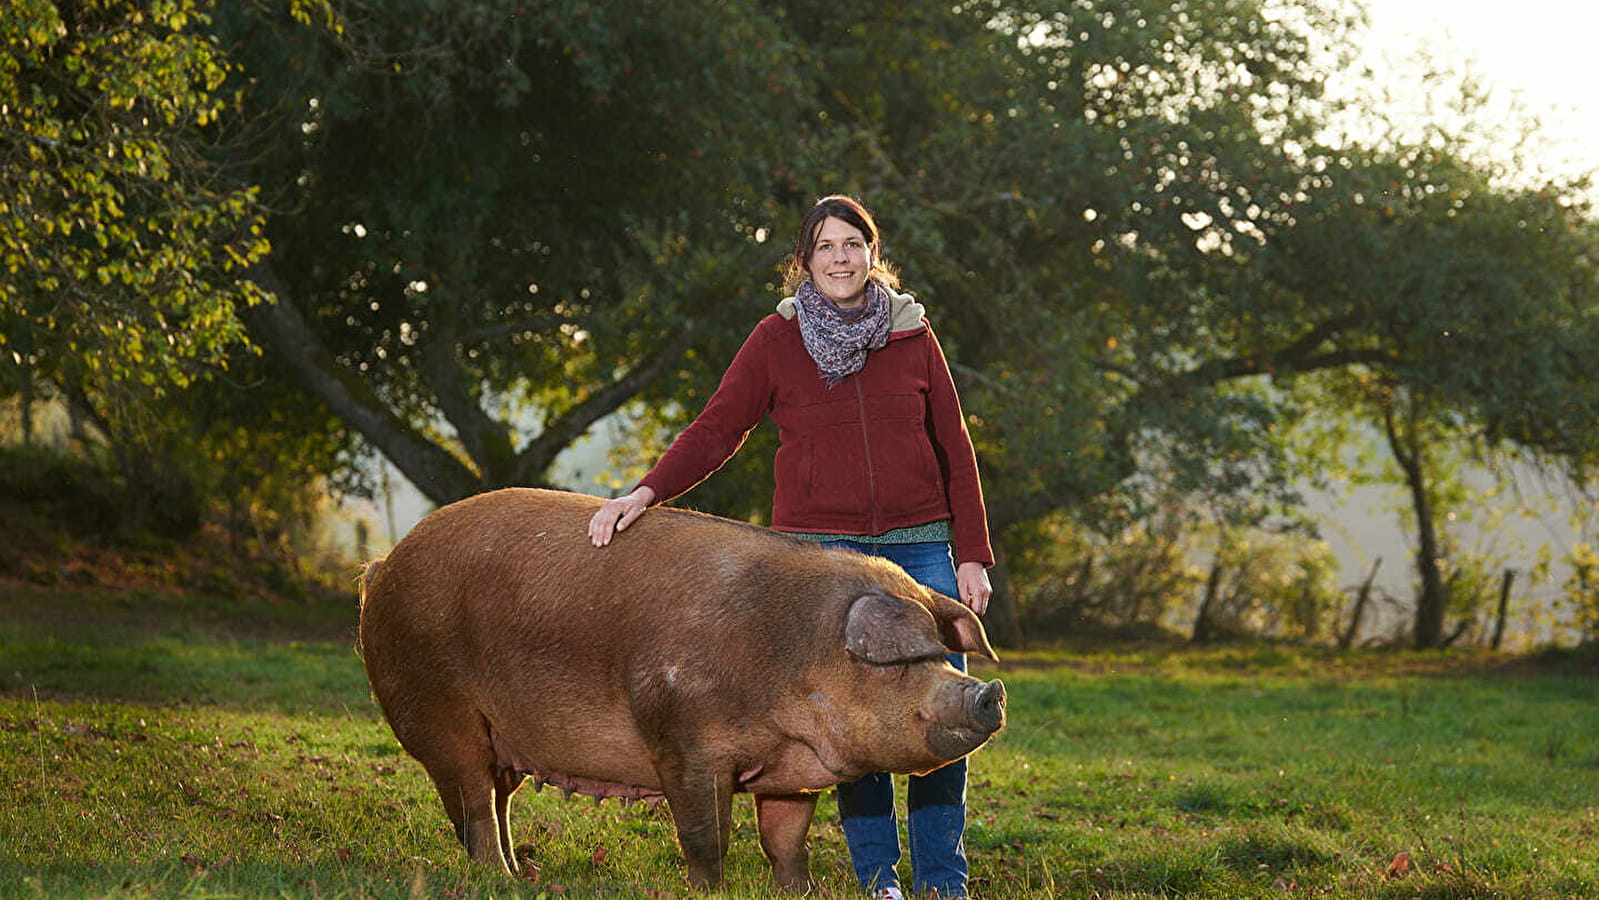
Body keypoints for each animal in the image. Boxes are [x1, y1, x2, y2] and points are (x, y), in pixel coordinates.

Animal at [364, 489, 1010, 888]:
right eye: (902, 662)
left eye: (941, 655)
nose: (989, 691)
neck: (790, 654)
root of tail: (382, 566)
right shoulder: (683, 743)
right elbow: (706, 836)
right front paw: (710, 888)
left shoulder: (793, 772)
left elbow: (787, 839)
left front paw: (799, 891)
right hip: (442, 713)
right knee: (473, 806)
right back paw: (500, 878)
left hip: (503, 740)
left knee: (495, 804)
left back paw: (522, 875)